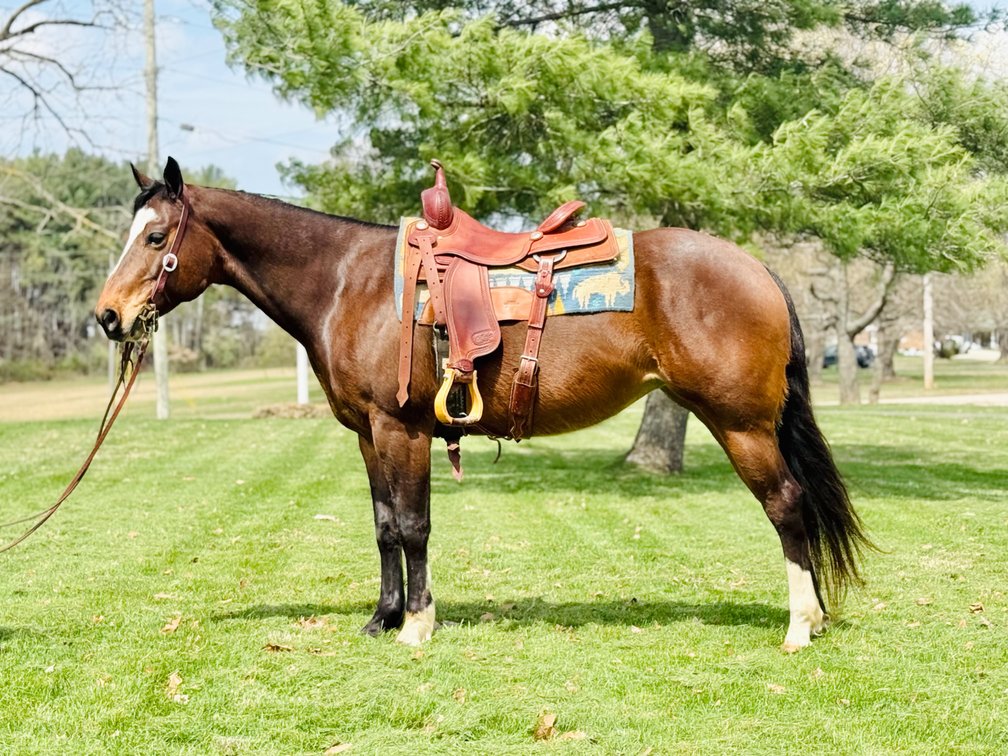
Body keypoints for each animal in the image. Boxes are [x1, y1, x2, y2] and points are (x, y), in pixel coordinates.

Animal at [95, 158, 870, 652]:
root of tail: (756, 267)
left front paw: (417, 626)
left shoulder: (401, 429)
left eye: (157, 237)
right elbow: (384, 526)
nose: (108, 316)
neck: (349, 282)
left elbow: (413, 525)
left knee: (787, 506)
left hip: (742, 426)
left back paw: (800, 626)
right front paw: (382, 618)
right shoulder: (367, 435)